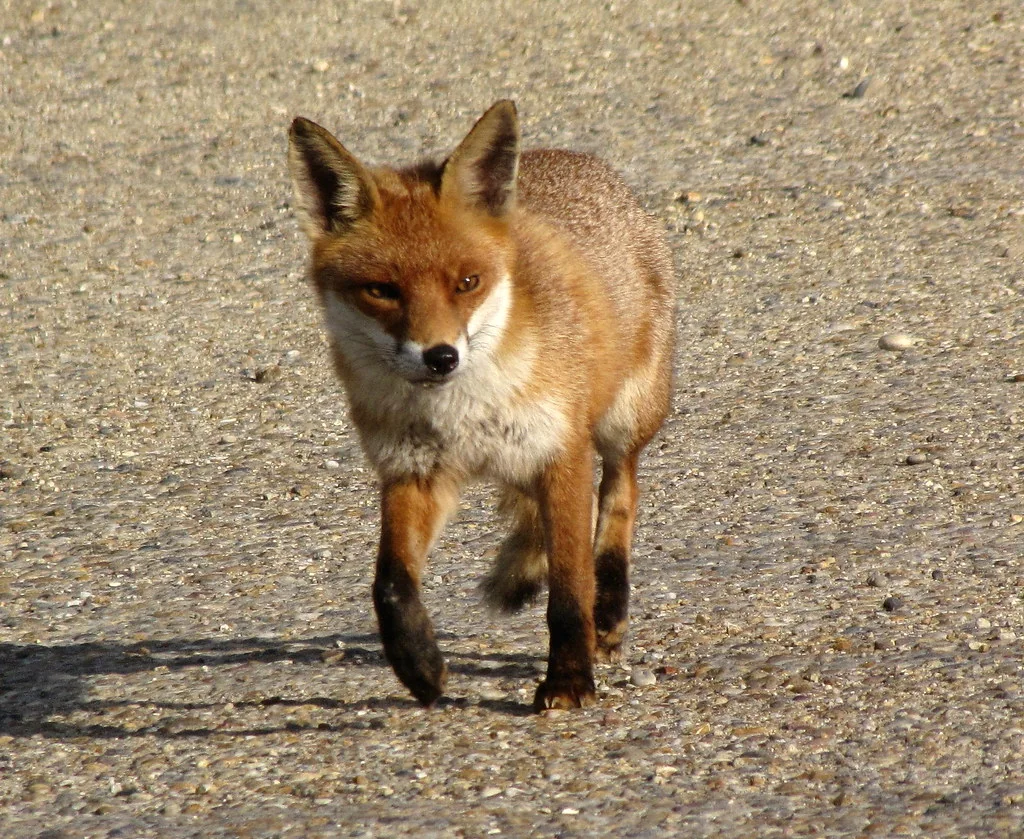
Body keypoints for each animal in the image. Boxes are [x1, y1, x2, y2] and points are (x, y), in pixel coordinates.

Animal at [287, 100, 675, 712]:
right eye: (382, 291)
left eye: (467, 282)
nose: (440, 357)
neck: (463, 416)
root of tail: (580, 159)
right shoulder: (414, 470)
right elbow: (390, 583)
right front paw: (417, 665)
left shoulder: (561, 455)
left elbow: (569, 591)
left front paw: (569, 680)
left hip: (624, 418)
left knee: (619, 496)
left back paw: (610, 610)